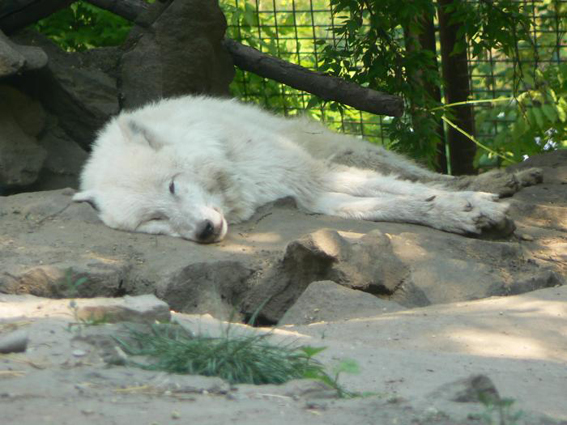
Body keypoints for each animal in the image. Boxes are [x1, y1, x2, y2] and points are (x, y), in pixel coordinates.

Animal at [74, 95, 524, 242]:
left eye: (171, 186)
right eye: (154, 219)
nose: (204, 231)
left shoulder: (309, 174)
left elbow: (407, 191)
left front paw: (474, 207)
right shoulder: (311, 197)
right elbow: (386, 206)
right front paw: (459, 213)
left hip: (341, 148)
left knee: (415, 172)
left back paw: (502, 179)